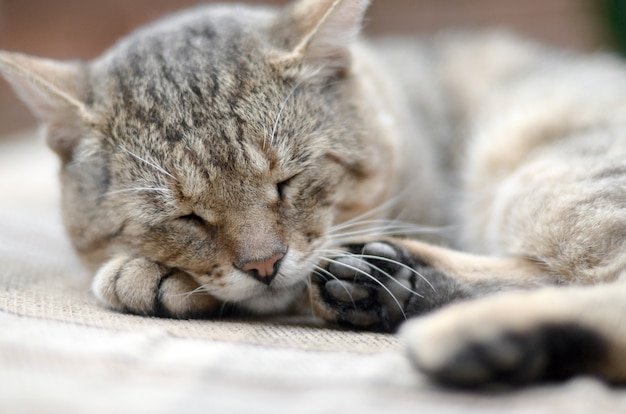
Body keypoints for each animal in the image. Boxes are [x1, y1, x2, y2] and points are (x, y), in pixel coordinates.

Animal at [1, 0, 624, 388]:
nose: (263, 265)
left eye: (288, 181)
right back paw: (399, 284)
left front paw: (147, 277)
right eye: (188, 216)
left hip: (547, 174)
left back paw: (469, 329)